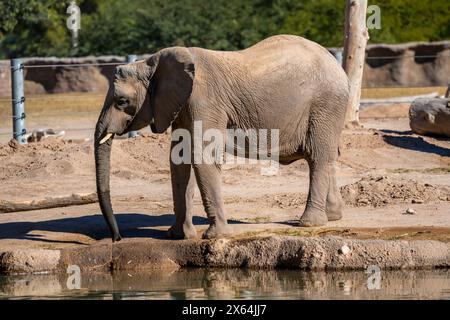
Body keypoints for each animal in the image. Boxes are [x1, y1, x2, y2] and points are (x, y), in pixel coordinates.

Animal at [94, 34, 348, 242]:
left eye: (121, 102)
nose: (116, 238)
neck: (151, 63)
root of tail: (337, 66)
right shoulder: (180, 105)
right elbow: (179, 158)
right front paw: (176, 235)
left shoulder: (204, 101)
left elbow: (201, 156)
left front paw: (215, 236)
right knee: (328, 155)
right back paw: (333, 216)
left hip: (325, 104)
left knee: (318, 156)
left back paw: (309, 223)